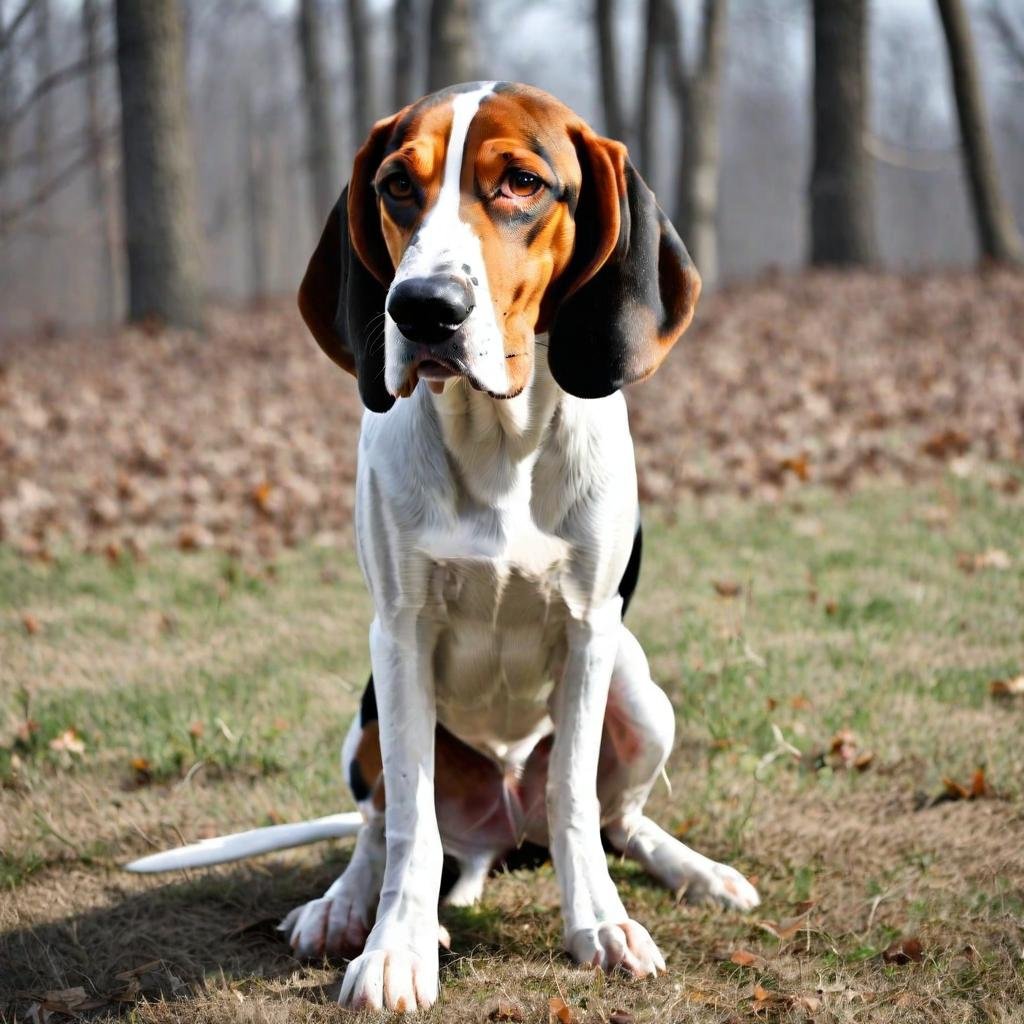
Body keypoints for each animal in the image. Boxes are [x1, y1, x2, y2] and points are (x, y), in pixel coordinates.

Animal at [128, 81, 757, 1015]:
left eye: (524, 183)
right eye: (395, 186)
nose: (422, 307)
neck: (495, 441)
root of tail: (505, 832)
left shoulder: (590, 631)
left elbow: (575, 800)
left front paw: (599, 925)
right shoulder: (399, 634)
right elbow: (412, 824)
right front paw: (396, 949)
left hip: (640, 692)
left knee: (617, 820)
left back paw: (695, 871)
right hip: (364, 721)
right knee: (376, 823)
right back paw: (343, 906)